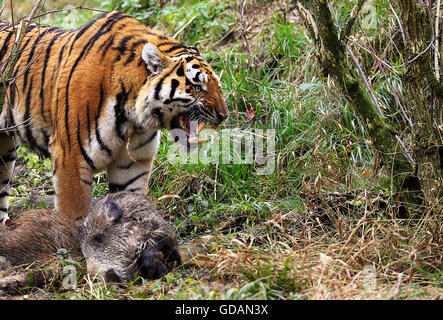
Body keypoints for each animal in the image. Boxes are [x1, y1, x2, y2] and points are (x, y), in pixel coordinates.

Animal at [0, 11, 229, 224]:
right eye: (197, 86)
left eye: (217, 85)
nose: (224, 115)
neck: (132, 118)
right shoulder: (70, 157)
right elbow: (73, 219)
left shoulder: (132, 166)